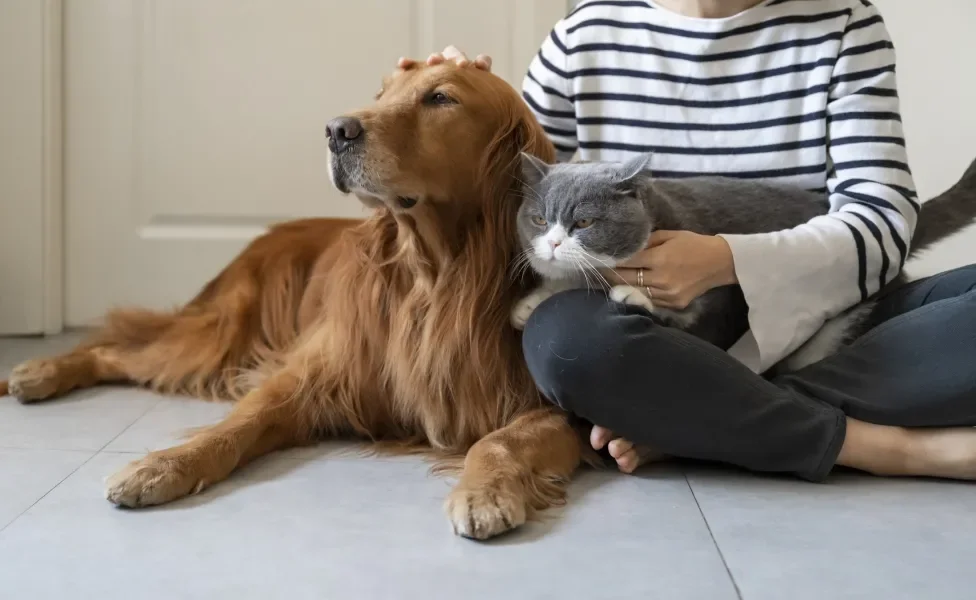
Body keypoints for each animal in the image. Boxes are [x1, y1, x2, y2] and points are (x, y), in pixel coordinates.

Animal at [510, 154, 976, 370]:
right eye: (539, 219)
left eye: (584, 222)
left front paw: (633, 294)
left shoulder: (714, 299)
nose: (553, 243)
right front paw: (531, 303)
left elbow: (686, 315)